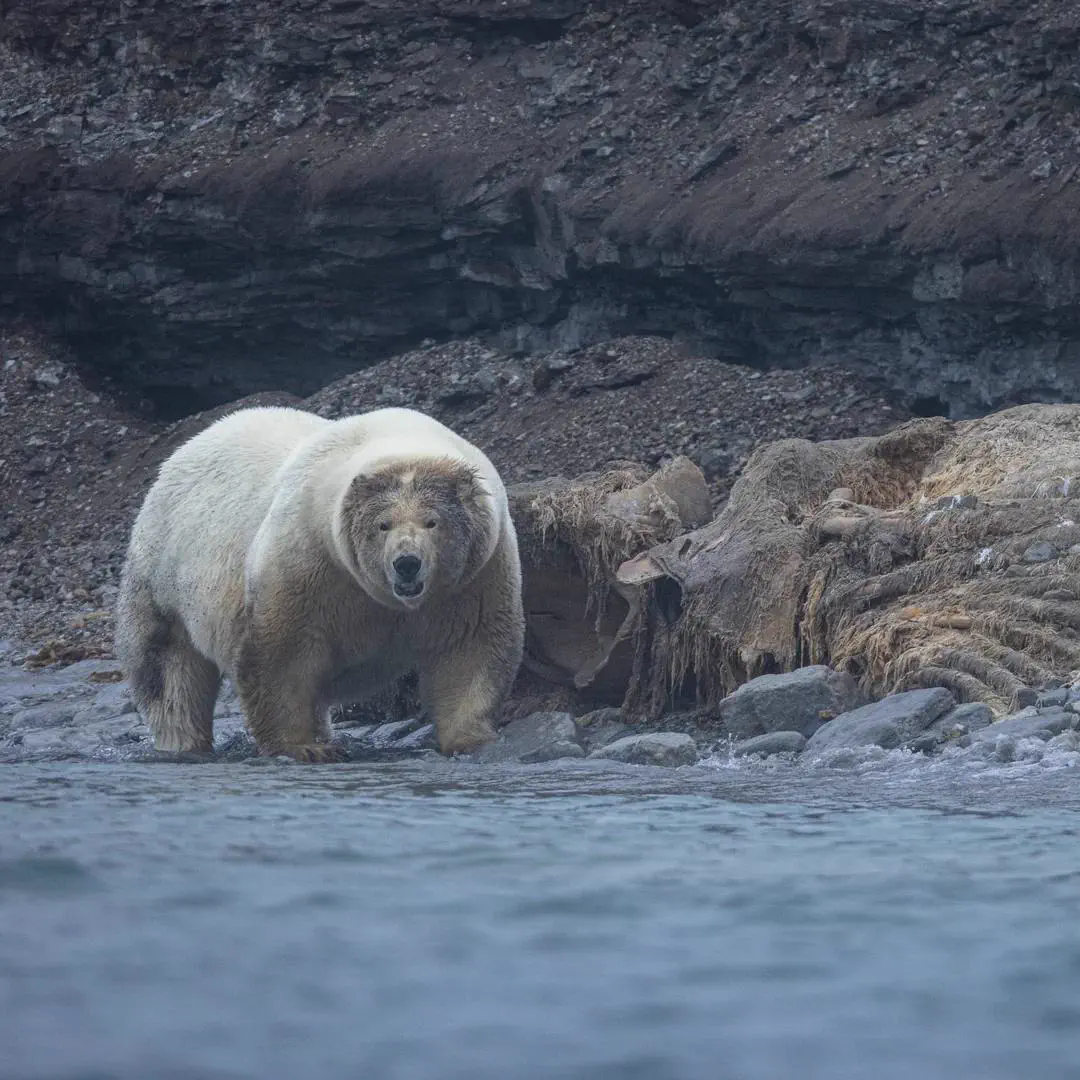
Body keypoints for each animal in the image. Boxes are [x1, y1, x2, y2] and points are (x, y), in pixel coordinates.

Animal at [115, 405, 524, 761]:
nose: (406, 564)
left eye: (432, 521)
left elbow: (470, 649)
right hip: (164, 575)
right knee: (170, 673)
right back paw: (183, 743)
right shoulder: (307, 557)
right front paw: (304, 748)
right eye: (383, 524)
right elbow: (282, 654)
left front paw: (470, 739)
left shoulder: (476, 575)